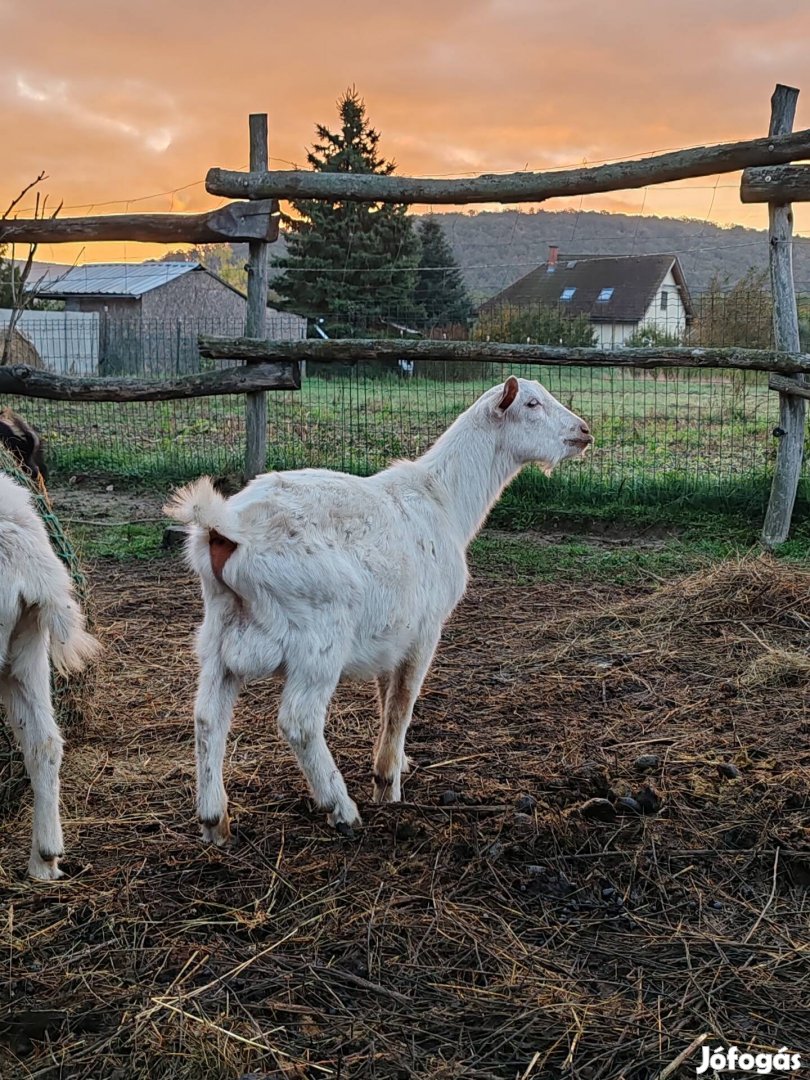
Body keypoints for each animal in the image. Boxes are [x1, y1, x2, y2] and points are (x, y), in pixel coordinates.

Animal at [166, 375, 596, 838]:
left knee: (207, 718)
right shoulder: (425, 630)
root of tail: (229, 530)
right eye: (531, 404)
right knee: (299, 721)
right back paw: (341, 808)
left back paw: (214, 820)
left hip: (218, 634)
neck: (444, 500)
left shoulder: (392, 632)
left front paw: (398, 762)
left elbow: (385, 696)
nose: (584, 431)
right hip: (320, 637)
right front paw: (387, 783)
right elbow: (402, 703)